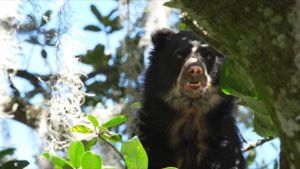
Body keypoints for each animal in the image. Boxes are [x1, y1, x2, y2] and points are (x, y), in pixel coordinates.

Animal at [138, 29, 246, 169]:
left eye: (209, 56)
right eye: (179, 54)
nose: (195, 70)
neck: (191, 110)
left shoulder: (223, 139)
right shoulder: (153, 135)